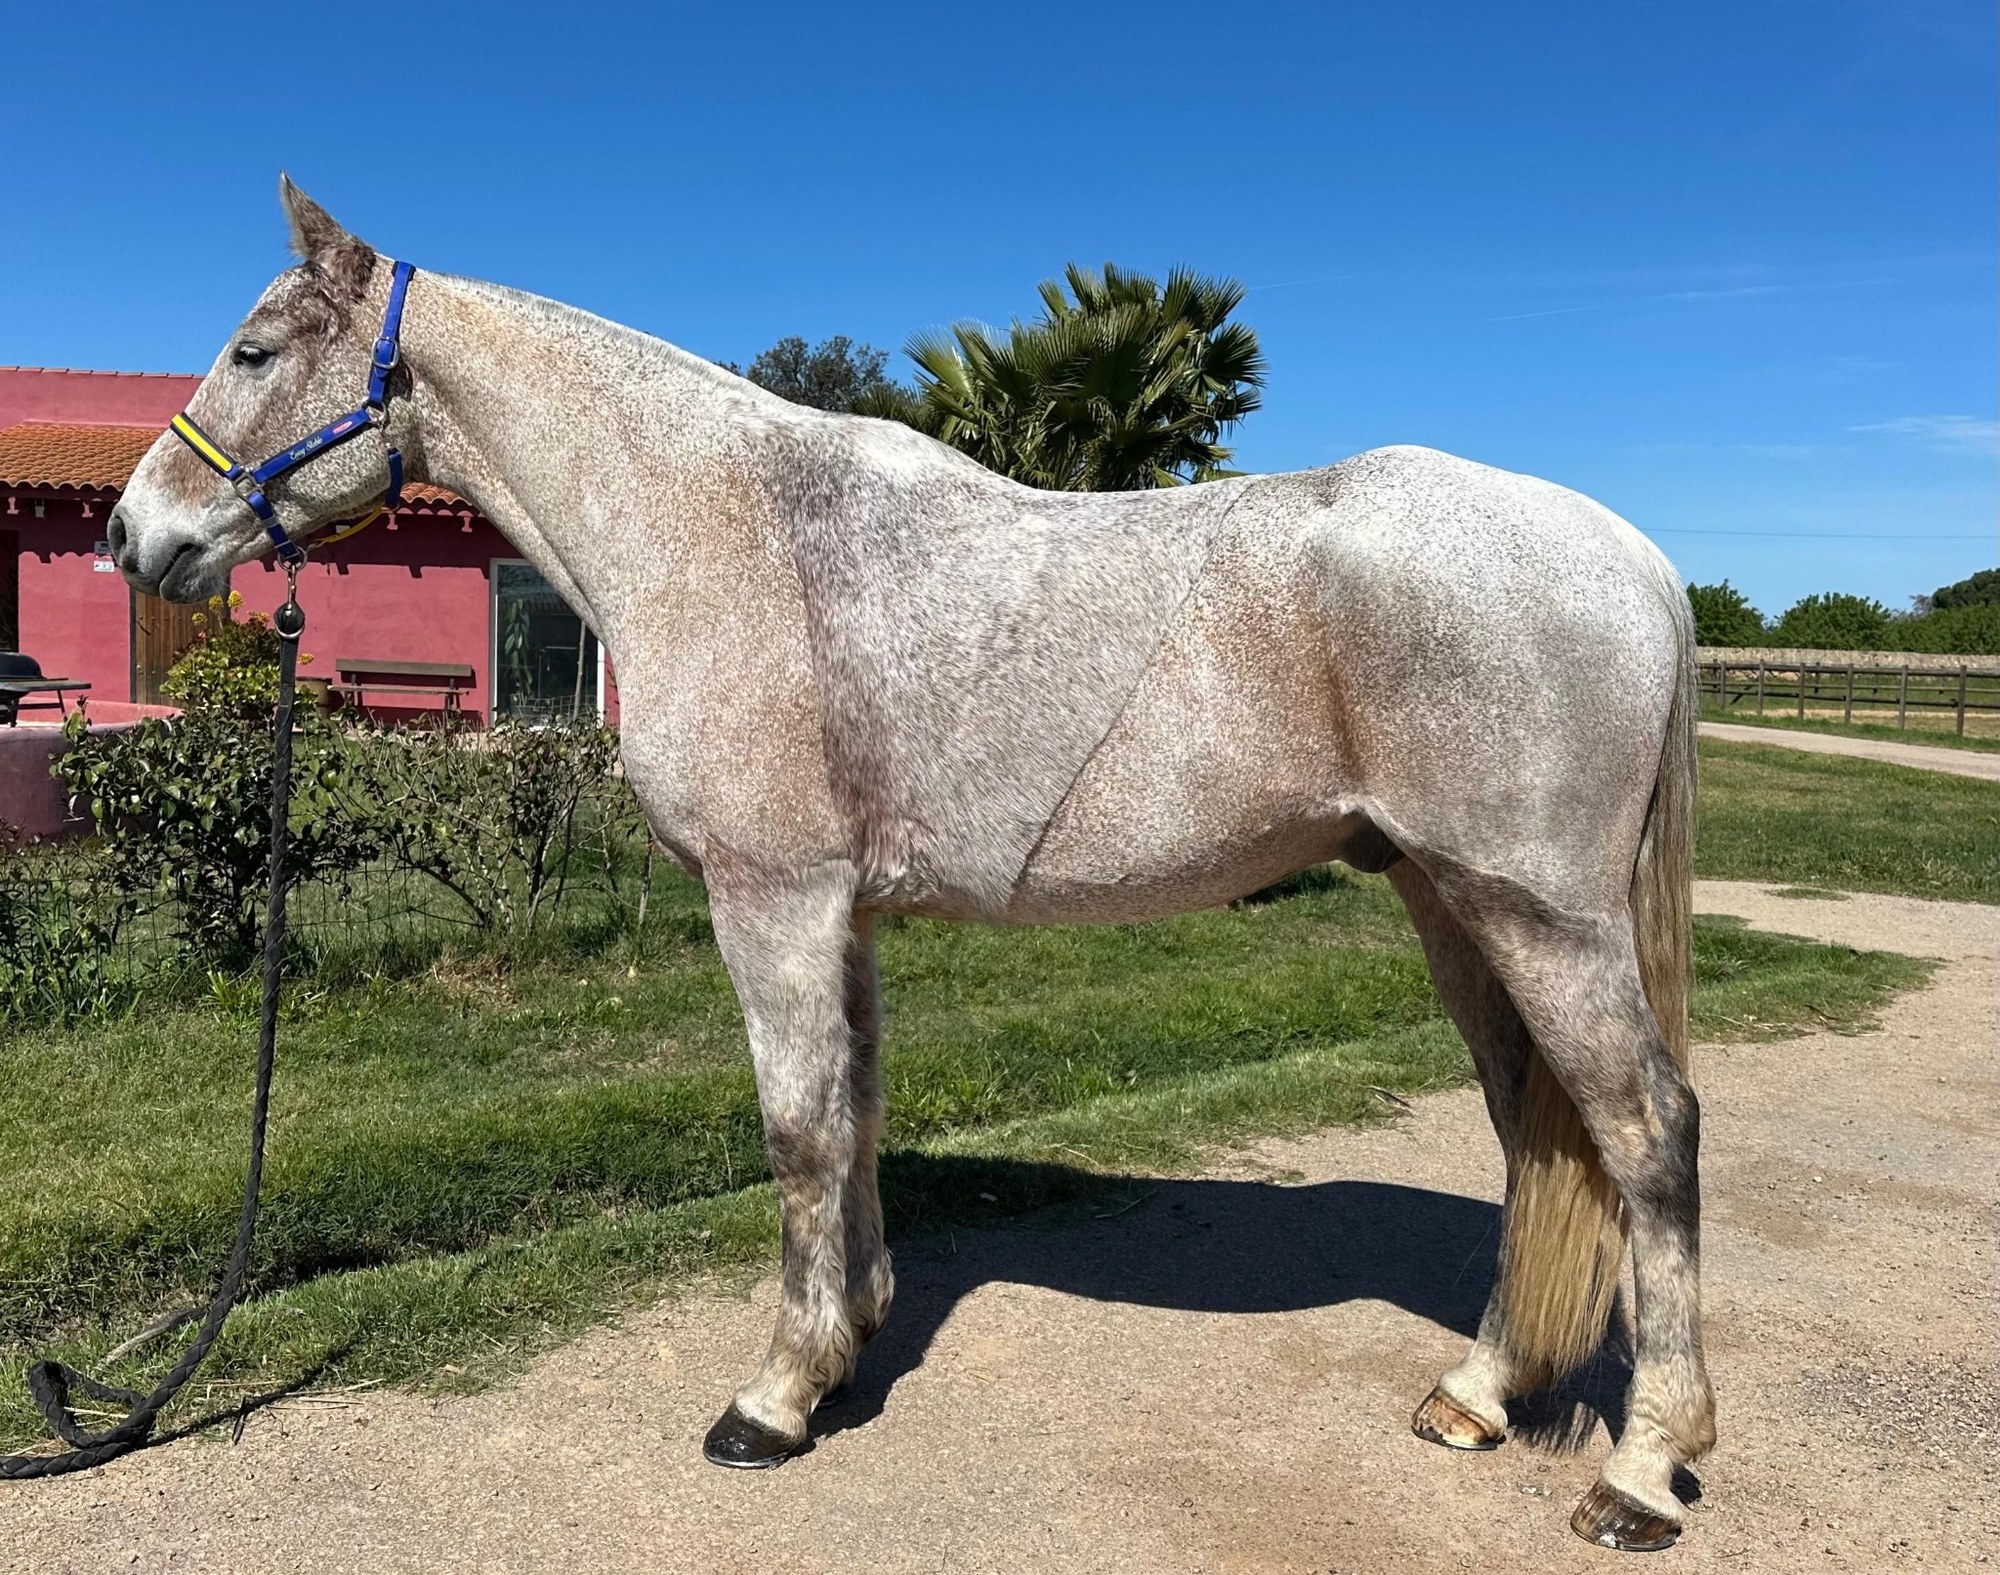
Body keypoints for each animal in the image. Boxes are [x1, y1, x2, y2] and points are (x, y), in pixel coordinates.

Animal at [107, 179, 1712, 1553]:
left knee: (1645, 1134)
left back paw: (1641, 1472)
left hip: (1537, 915)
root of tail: (1632, 557)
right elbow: (857, 1115)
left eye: (254, 349)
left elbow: (799, 1132)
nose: (135, 533)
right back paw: (1478, 1395)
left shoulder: (769, 898)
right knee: (1537, 1135)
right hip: (1452, 903)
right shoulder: (843, 914)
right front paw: (851, 1336)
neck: (729, 529)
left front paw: (772, 1400)